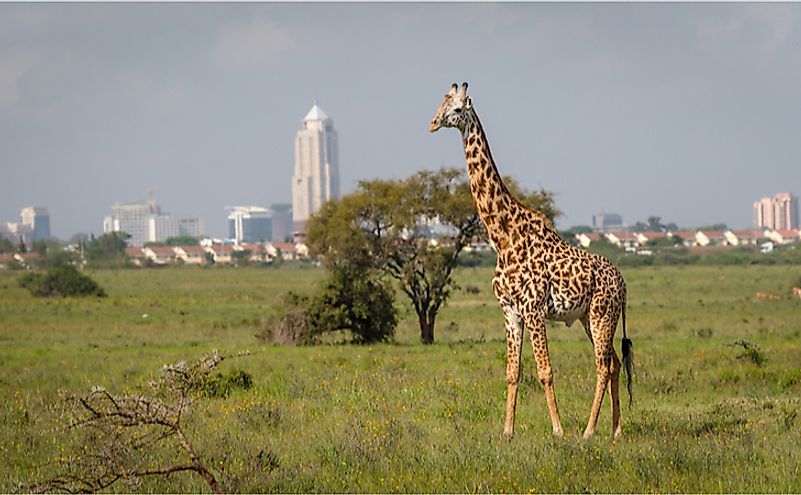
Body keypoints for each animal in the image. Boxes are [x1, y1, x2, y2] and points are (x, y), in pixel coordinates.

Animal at [428, 83, 636, 440]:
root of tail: (622, 283)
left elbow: (544, 371)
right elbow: (513, 371)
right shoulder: (510, 310)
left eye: (456, 109)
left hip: (601, 314)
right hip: (588, 318)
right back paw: (616, 430)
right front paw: (507, 431)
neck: (502, 237)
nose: (431, 123)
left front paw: (558, 430)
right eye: (441, 104)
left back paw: (588, 431)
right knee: (614, 364)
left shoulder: (533, 308)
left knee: (602, 365)